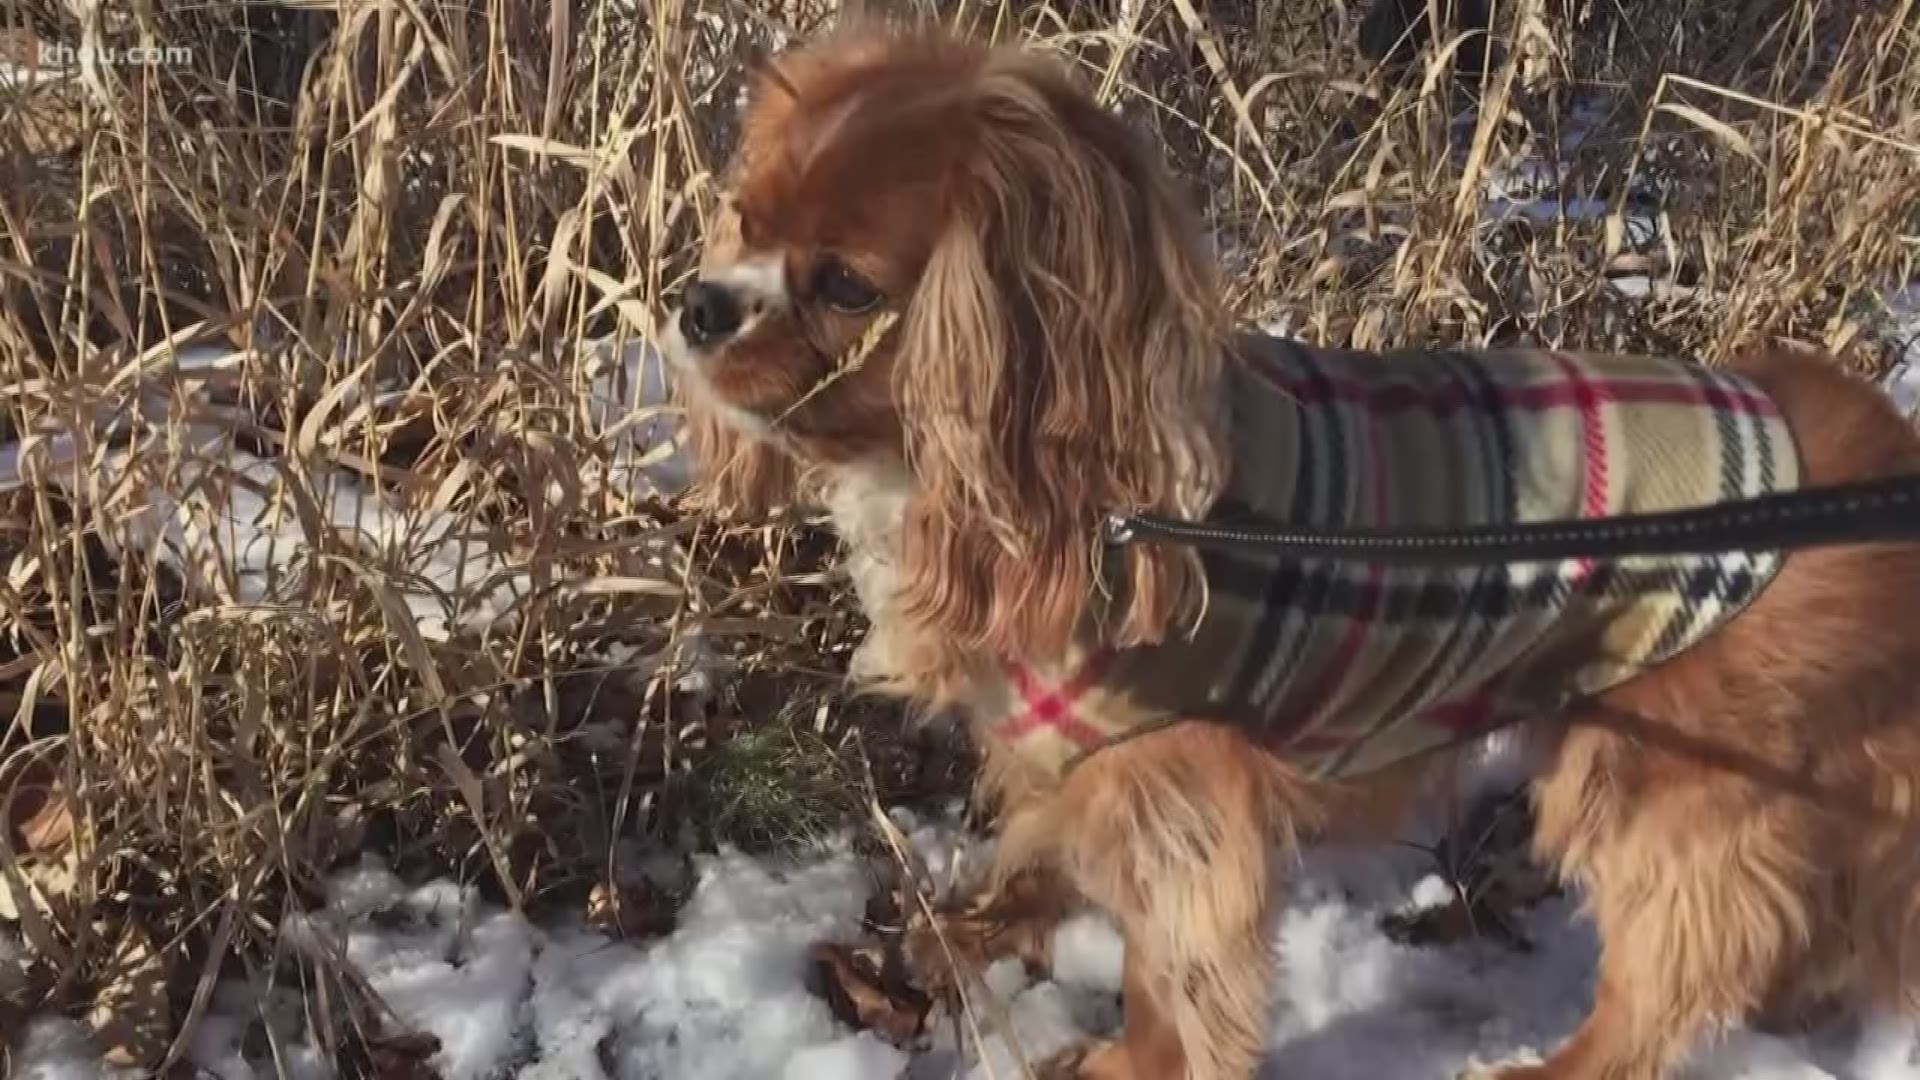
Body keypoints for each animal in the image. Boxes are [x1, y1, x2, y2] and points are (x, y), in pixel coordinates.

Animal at [656, 25, 1920, 1076]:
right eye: (745, 219)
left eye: (846, 285)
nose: (694, 305)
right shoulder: (1073, 754)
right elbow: (1050, 848)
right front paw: (980, 925)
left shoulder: (1180, 799)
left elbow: (1173, 970)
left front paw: (1131, 1063)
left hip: (1663, 786)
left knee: (1690, 963)